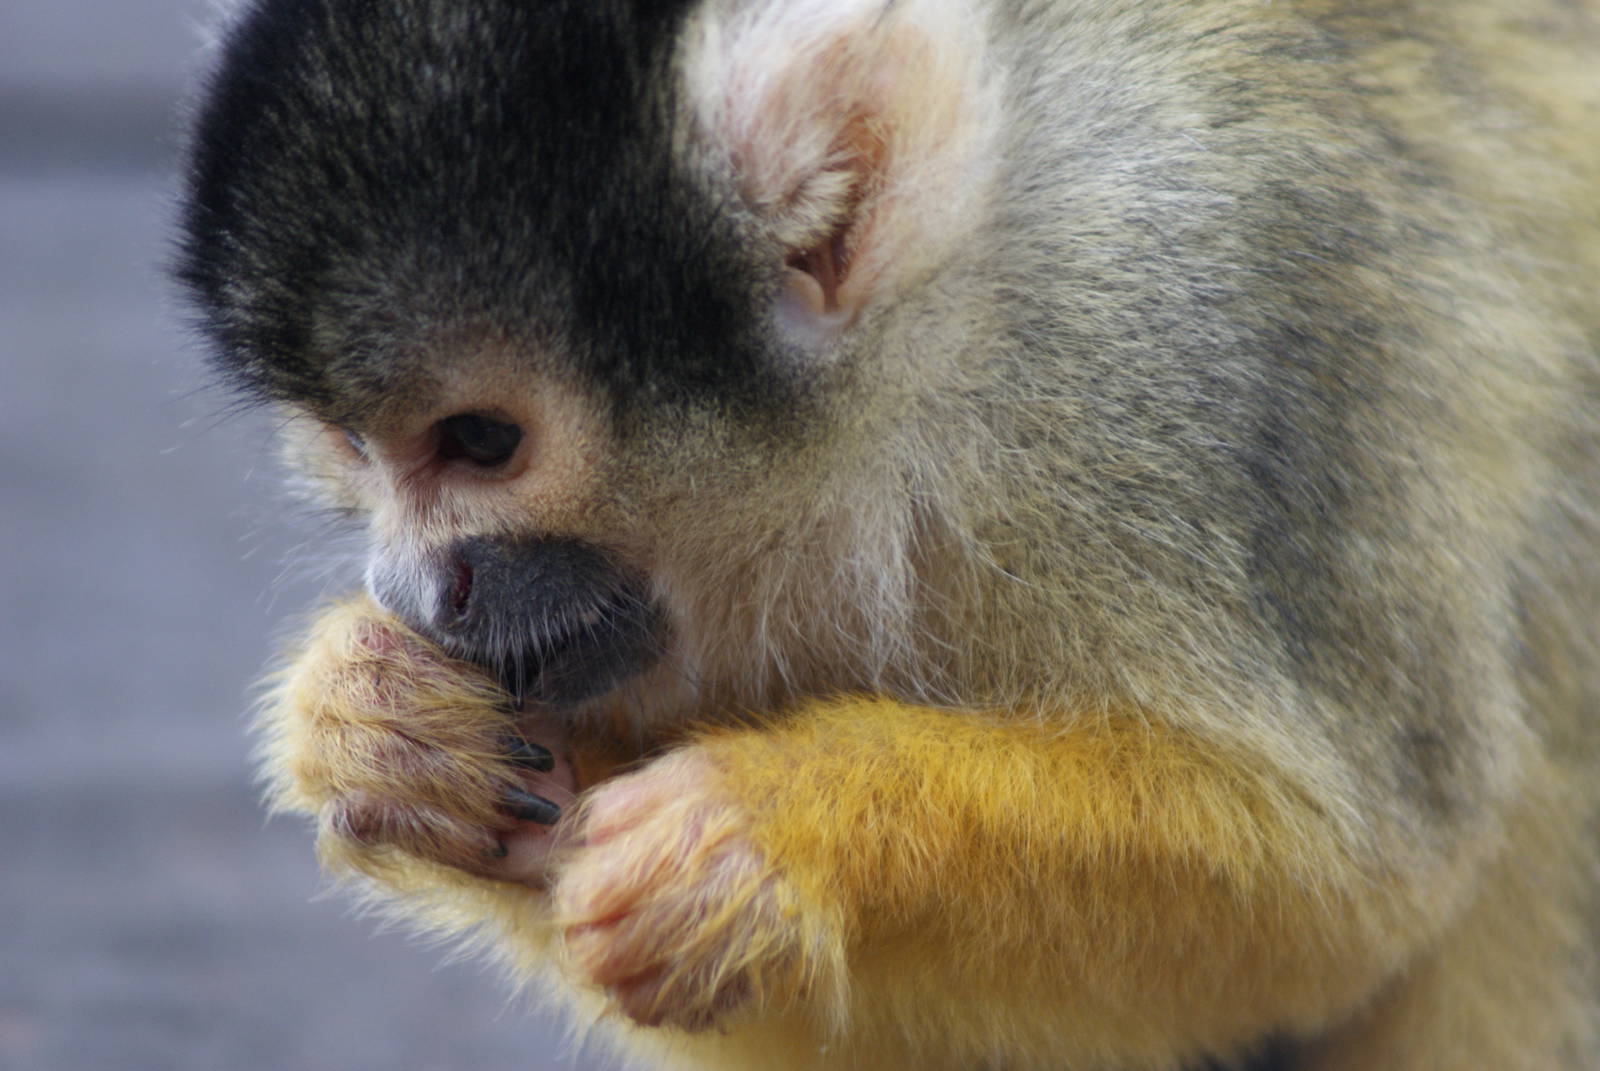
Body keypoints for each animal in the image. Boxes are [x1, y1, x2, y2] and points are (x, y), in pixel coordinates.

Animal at [174, 0, 1600, 1068]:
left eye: (477, 444)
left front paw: (780, 828)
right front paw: (375, 725)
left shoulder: (1195, 361)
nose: (422, 592)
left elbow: (1356, 888)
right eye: (358, 450)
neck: (935, 364)